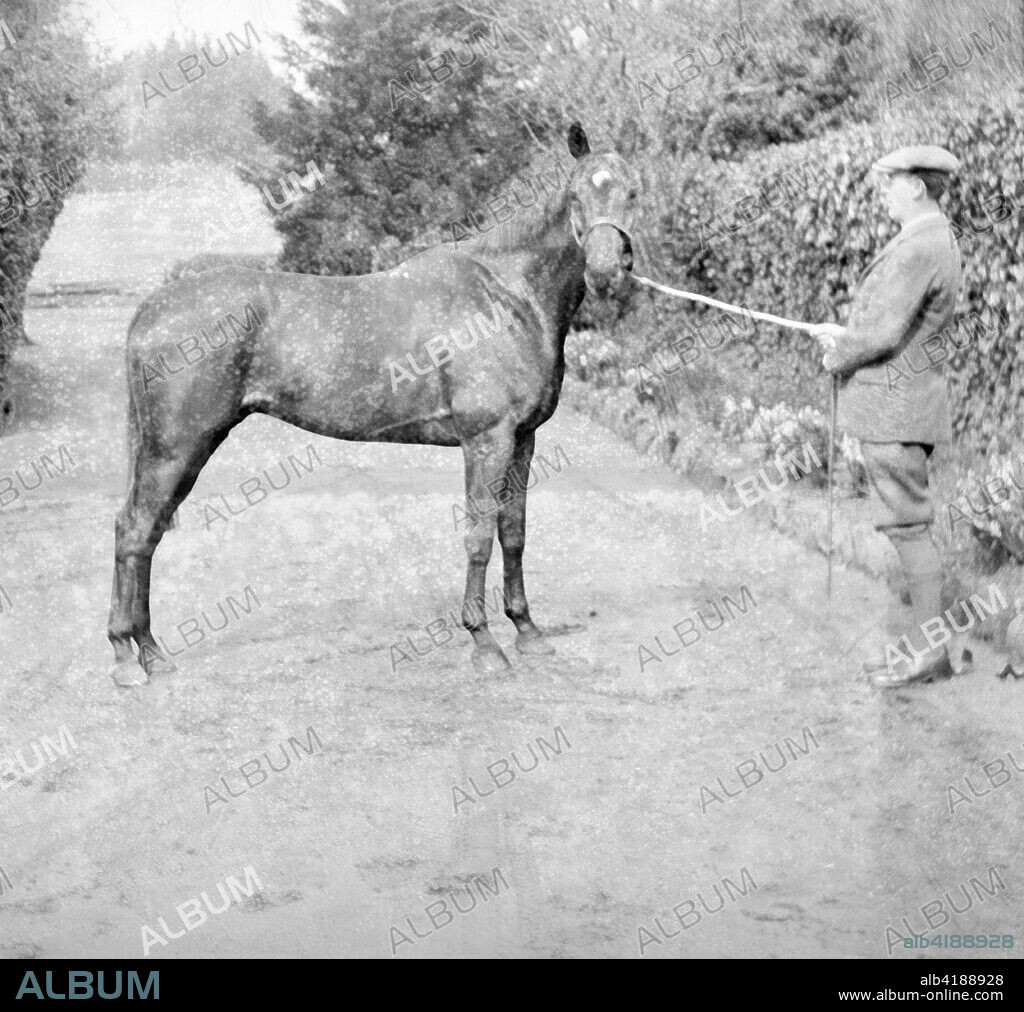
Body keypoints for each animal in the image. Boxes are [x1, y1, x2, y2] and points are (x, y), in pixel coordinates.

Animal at [110, 122, 638, 684]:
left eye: (632, 192)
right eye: (577, 195)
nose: (606, 271)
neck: (506, 296)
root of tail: (153, 307)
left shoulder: (523, 440)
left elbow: (512, 534)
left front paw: (528, 632)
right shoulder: (486, 439)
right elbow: (479, 535)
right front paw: (484, 642)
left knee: (145, 532)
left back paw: (149, 652)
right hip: (178, 446)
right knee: (135, 530)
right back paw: (127, 658)